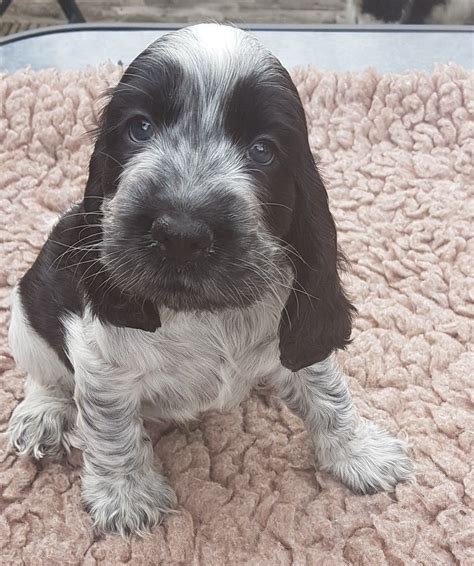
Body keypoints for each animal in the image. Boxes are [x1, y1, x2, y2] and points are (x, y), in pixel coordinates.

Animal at [9, 23, 412, 536]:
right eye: (139, 128)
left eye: (263, 150)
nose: (181, 233)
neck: (206, 313)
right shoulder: (102, 365)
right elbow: (111, 428)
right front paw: (124, 497)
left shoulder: (296, 331)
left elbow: (329, 394)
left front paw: (360, 453)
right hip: (23, 314)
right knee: (44, 374)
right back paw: (41, 415)